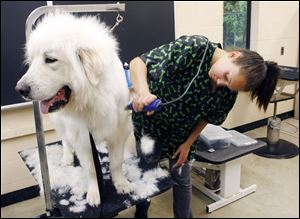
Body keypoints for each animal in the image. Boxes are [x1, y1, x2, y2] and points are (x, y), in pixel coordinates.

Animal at [14, 12, 135, 207]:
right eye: (31, 61)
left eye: (50, 59)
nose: (20, 89)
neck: (93, 97)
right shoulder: (82, 138)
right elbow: (92, 169)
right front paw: (94, 193)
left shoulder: (118, 132)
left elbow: (116, 162)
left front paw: (121, 183)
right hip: (61, 123)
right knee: (65, 140)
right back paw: (67, 157)